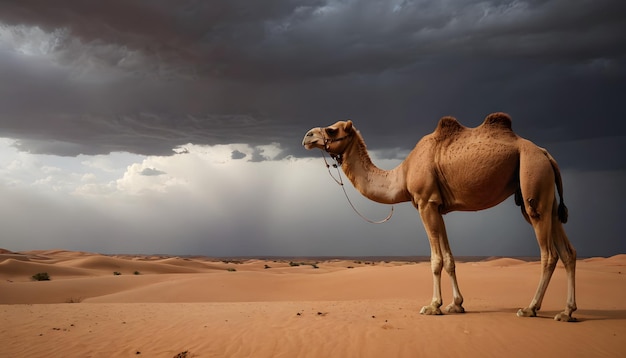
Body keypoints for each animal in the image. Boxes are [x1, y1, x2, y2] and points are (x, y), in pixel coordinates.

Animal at [302, 112, 576, 322]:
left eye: (332, 130)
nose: (307, 136)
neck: (402, 174)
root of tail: (546, 154)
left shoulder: (426, 203)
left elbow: (435, 260)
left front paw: (433, 306)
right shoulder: (438, 207)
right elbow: (449, 258)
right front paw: (456, 304)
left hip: (532, 177)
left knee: (549, 253)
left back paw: (530, 308)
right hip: (545, 195)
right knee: (567, 251)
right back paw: (567, 312)